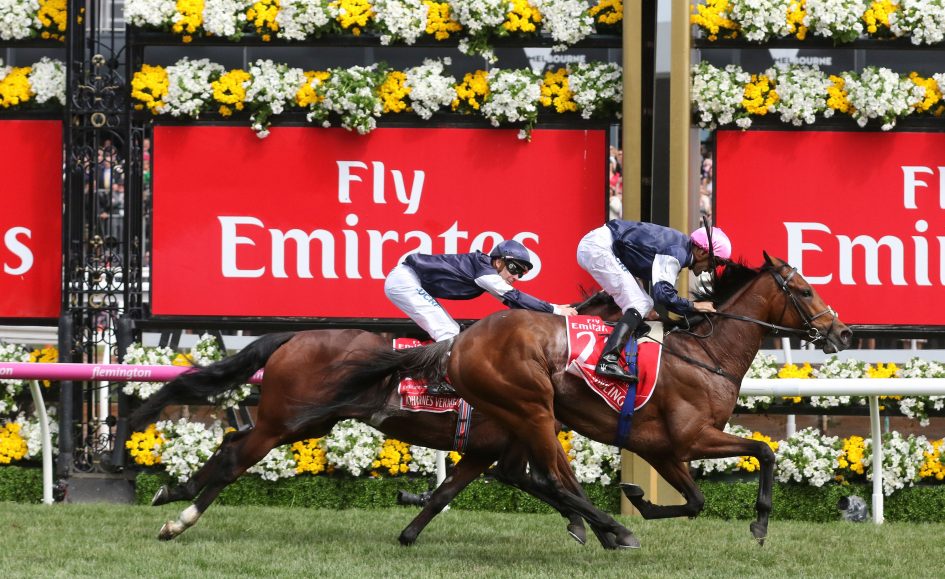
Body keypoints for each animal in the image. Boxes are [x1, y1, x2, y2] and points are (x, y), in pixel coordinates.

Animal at [127, 291, 624, 545]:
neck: (545, 352)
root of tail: (294, 336)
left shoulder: (490, 448)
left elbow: (447, 492)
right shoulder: (520, 436)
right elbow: (556, 483)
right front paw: (607, 530)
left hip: (307, 423)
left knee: (232, 448)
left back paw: (175, 500)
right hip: (283, 421)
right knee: (235, 460)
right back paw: (179, 515)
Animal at [328, 253, 853, 548]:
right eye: (805, 290)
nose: (843, 332)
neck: (707, 356)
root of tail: (459, 346)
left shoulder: (663, 449)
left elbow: (697, 500)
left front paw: (638, 498)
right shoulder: (692, 438)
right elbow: (764, 451)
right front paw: (760, 524)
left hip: (521, 417)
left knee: (520, 474)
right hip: (532, 407)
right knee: (542, 475)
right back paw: (608, 529)